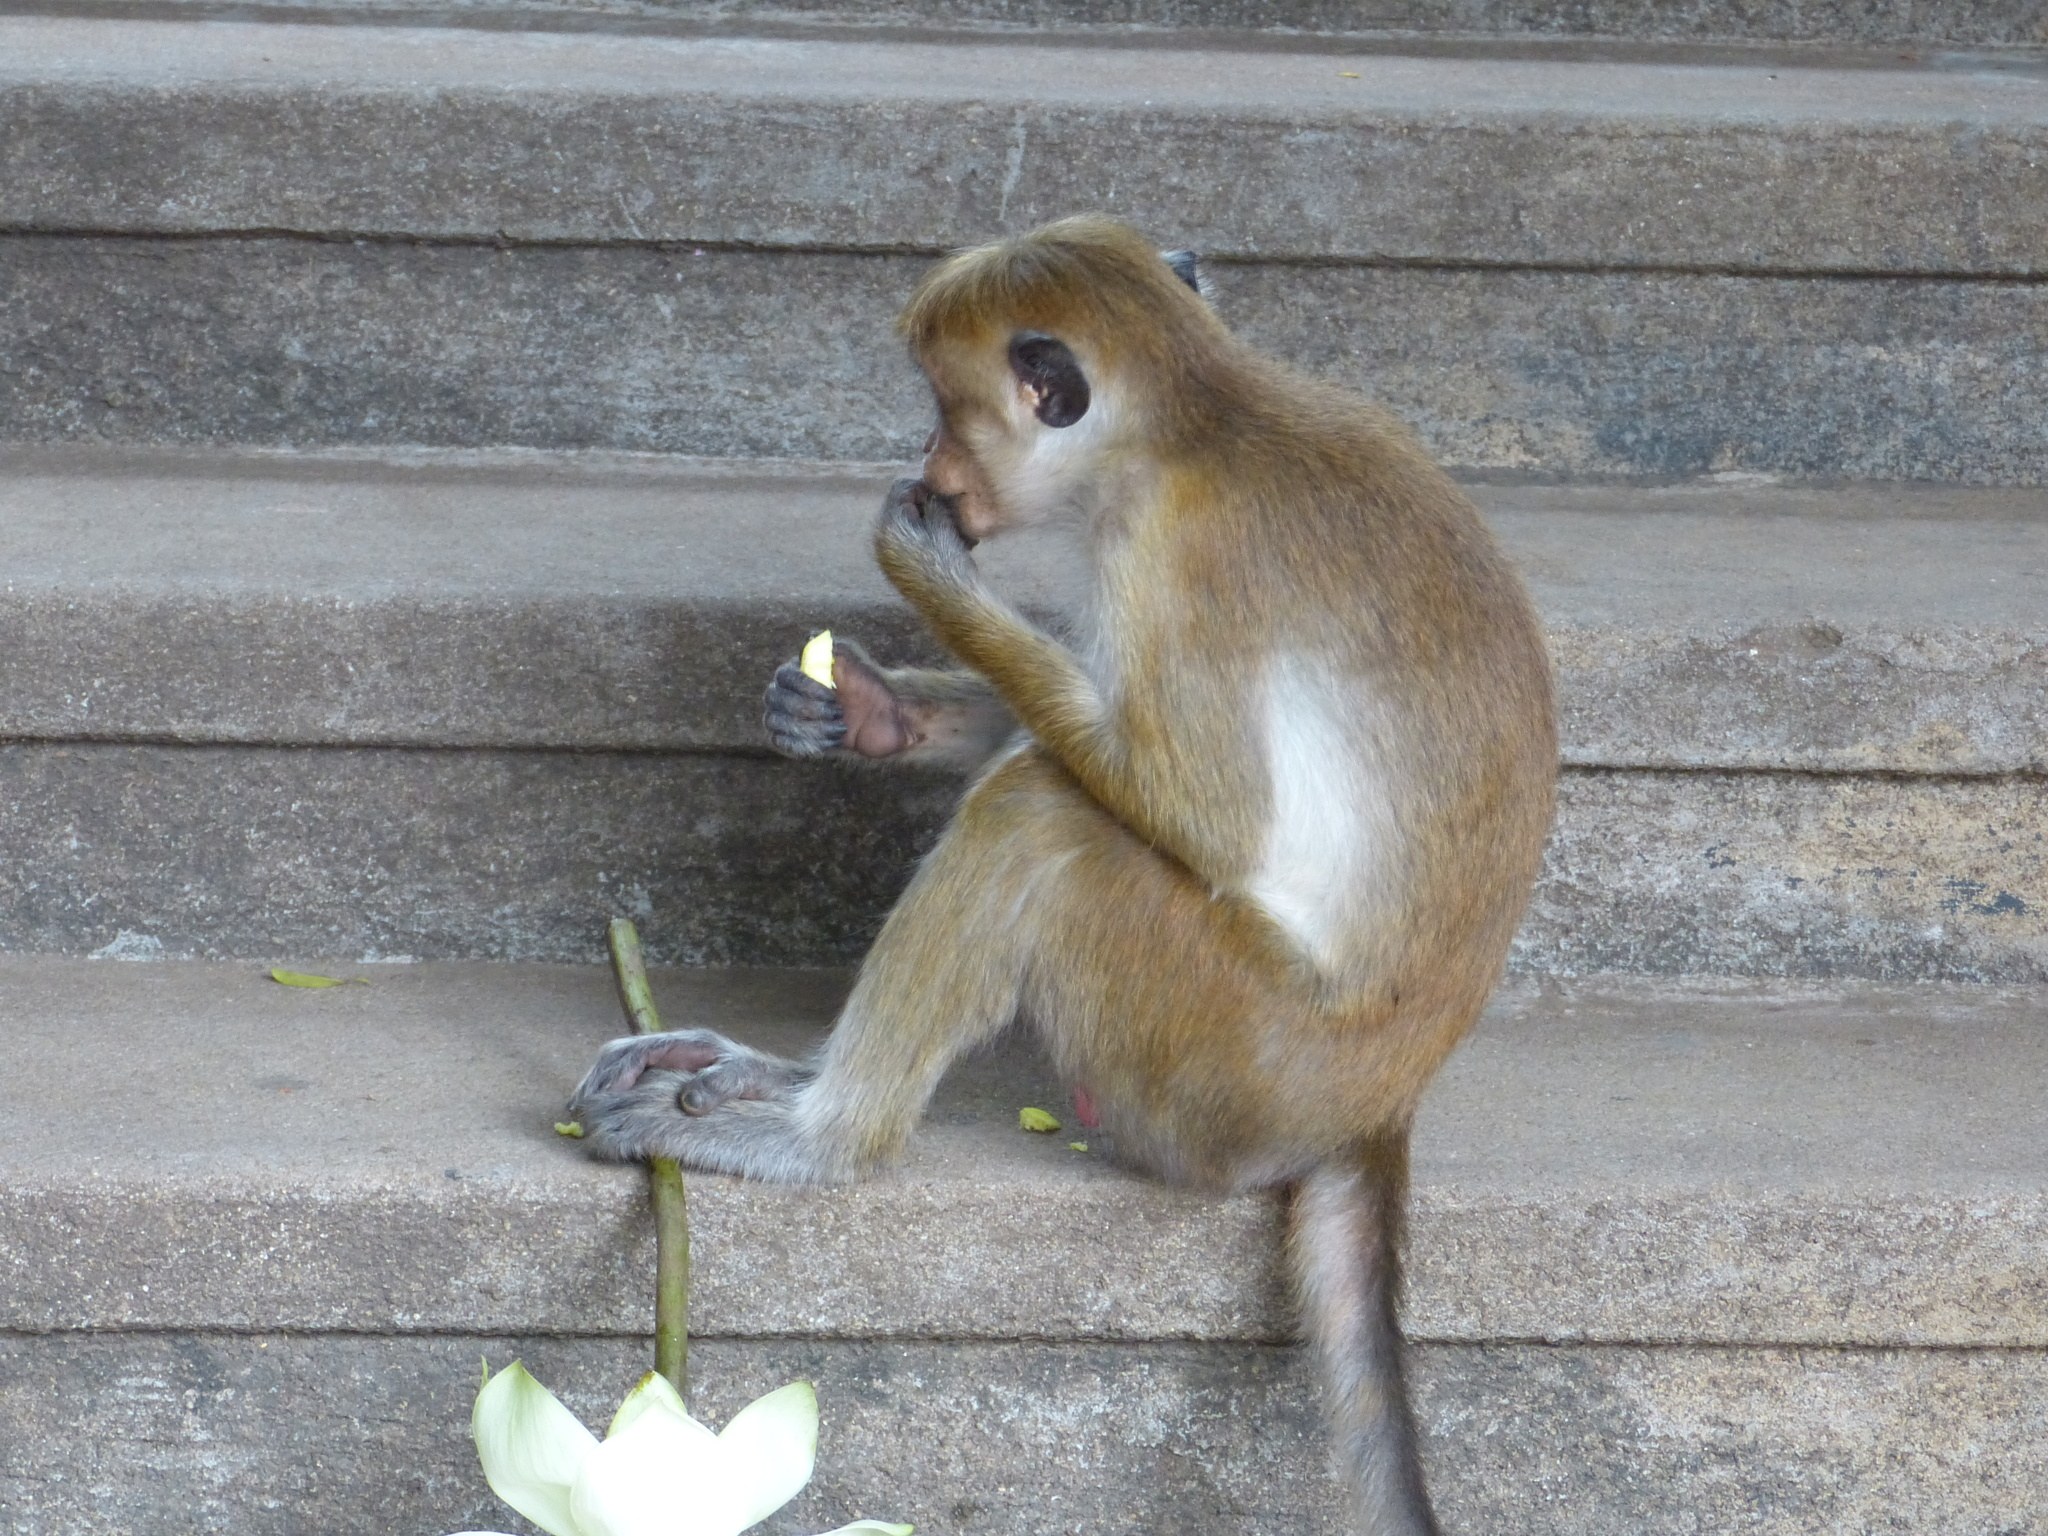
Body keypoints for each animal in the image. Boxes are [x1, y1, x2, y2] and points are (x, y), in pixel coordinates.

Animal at [569, 215, 1556, 1535]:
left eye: (946, 409)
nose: (930, 462)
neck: (1201, 418)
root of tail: (1374, 1107)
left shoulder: (1177, 556)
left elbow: (1206, 818)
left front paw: (922, 573)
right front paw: (865, 710)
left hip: (1219, 1057)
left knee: (1038, 815)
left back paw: (826, 1136)